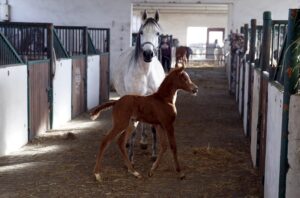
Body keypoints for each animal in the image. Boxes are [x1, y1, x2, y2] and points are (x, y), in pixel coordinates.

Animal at [109, 10, 164, 162]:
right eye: (141, 32)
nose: (148, 54)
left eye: (157, 33)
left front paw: (153, 154)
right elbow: (132, 128)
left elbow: (152, 127)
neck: (146, 72)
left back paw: (143, 142)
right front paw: (130, 158)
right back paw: (129, 143)